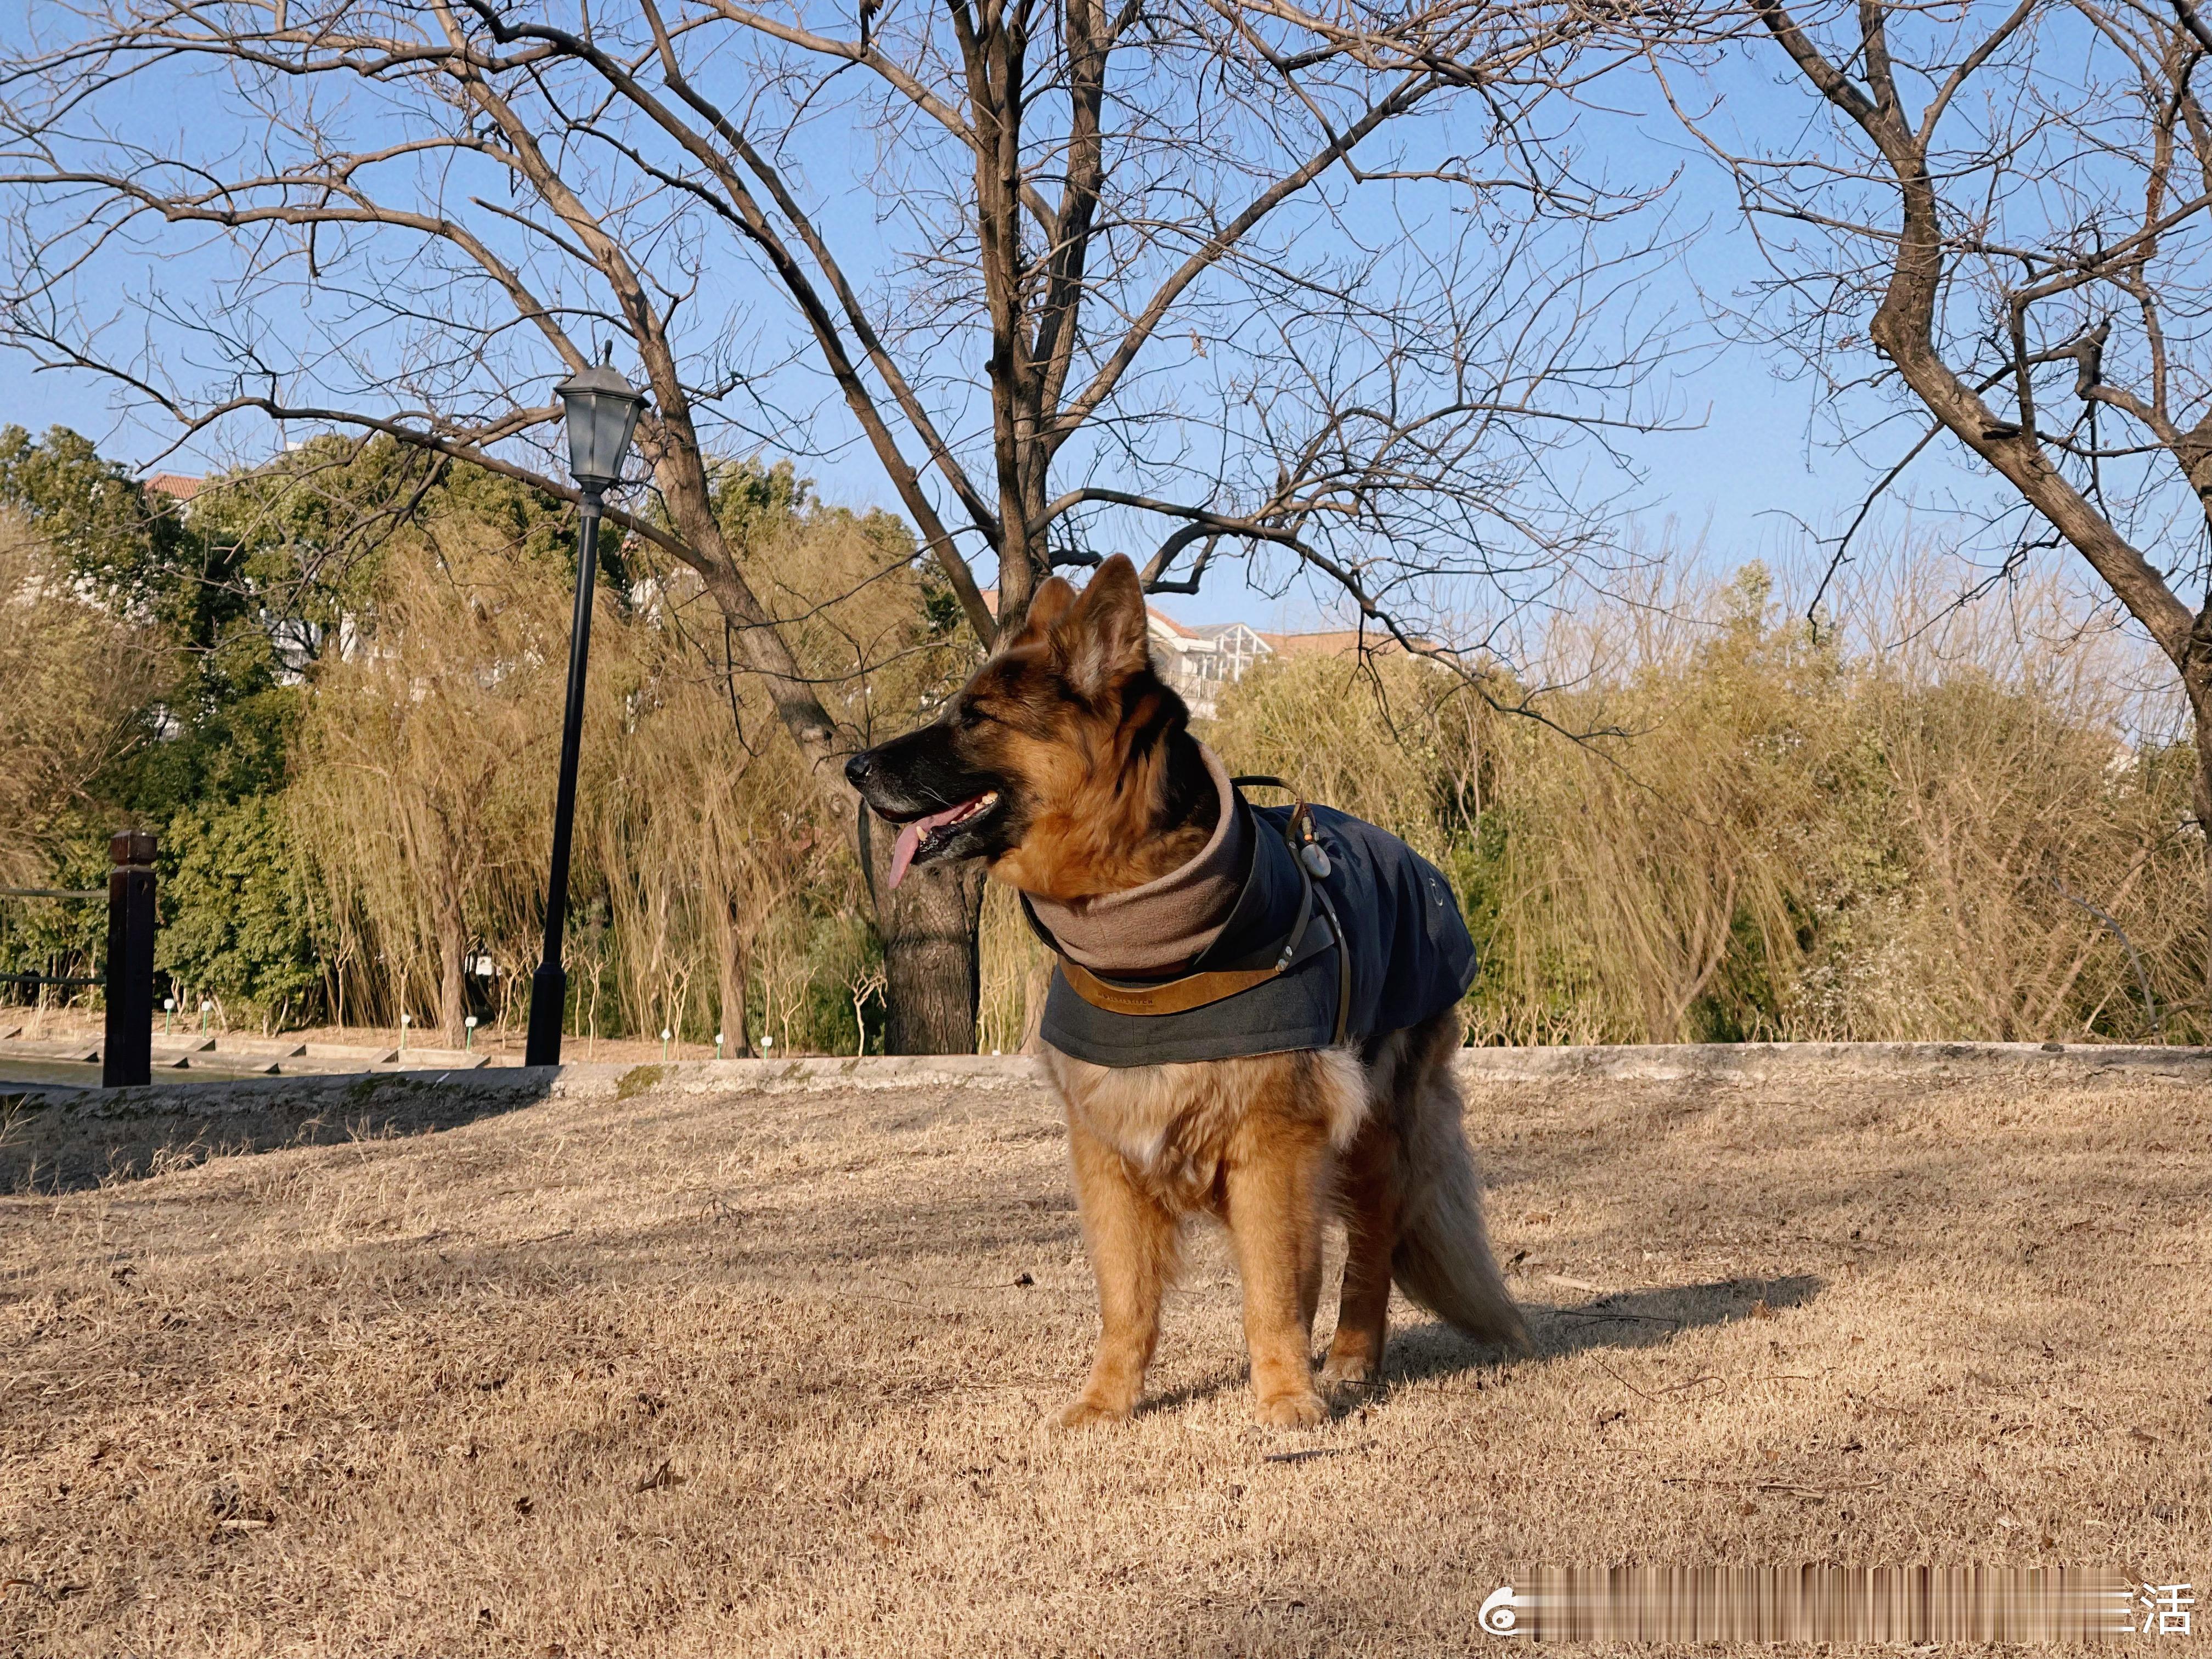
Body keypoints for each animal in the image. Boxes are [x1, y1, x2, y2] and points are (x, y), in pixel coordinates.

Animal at [836, 560, 1531, 1433]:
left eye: (976, 718)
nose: (853, 768)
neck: (1147, 946)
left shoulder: (1273, 1149)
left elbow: (1273, 1290)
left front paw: (1285, 1397)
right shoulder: (1107, 1151)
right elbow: (1127, 1302)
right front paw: (1106, 1403)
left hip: (1376, 1141)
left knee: (1368, 1255)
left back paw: (1347, 1361)